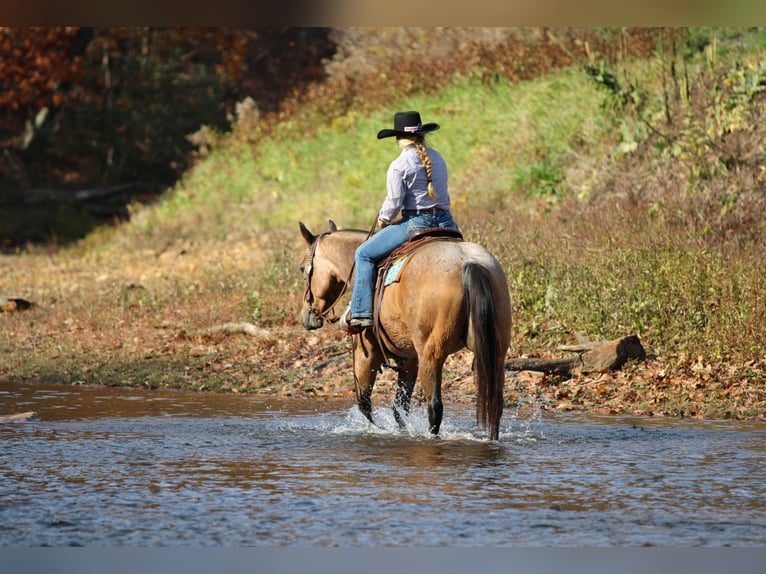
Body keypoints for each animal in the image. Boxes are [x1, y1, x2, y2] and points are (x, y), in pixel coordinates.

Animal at [298, 220, 512, 440]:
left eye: (302, 269)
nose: (306, 316)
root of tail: (468, 263)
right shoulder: (410, 358)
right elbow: (399, 407)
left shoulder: (366, 353)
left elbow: (364, 403)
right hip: (494, 352)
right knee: (495, 403)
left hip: (431, 356)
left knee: (435, 407)